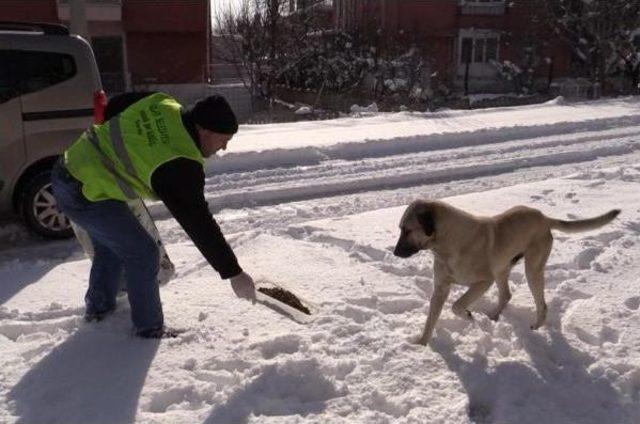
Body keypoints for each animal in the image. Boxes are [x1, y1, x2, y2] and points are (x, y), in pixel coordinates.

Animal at [396, 200, 620, 344]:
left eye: (407, 230)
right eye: (401, 229)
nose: (395, 252)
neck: (447, 244)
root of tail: (544, 217)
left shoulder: (482, 282)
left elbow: (457, 305)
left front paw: (469, 316)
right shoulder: (441, 288)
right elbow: (430, 320)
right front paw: (422, 344)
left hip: (532, 269)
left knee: (541, 304)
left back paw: (535, 327)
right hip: (503, 269)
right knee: (506, 295)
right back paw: (494, 317)